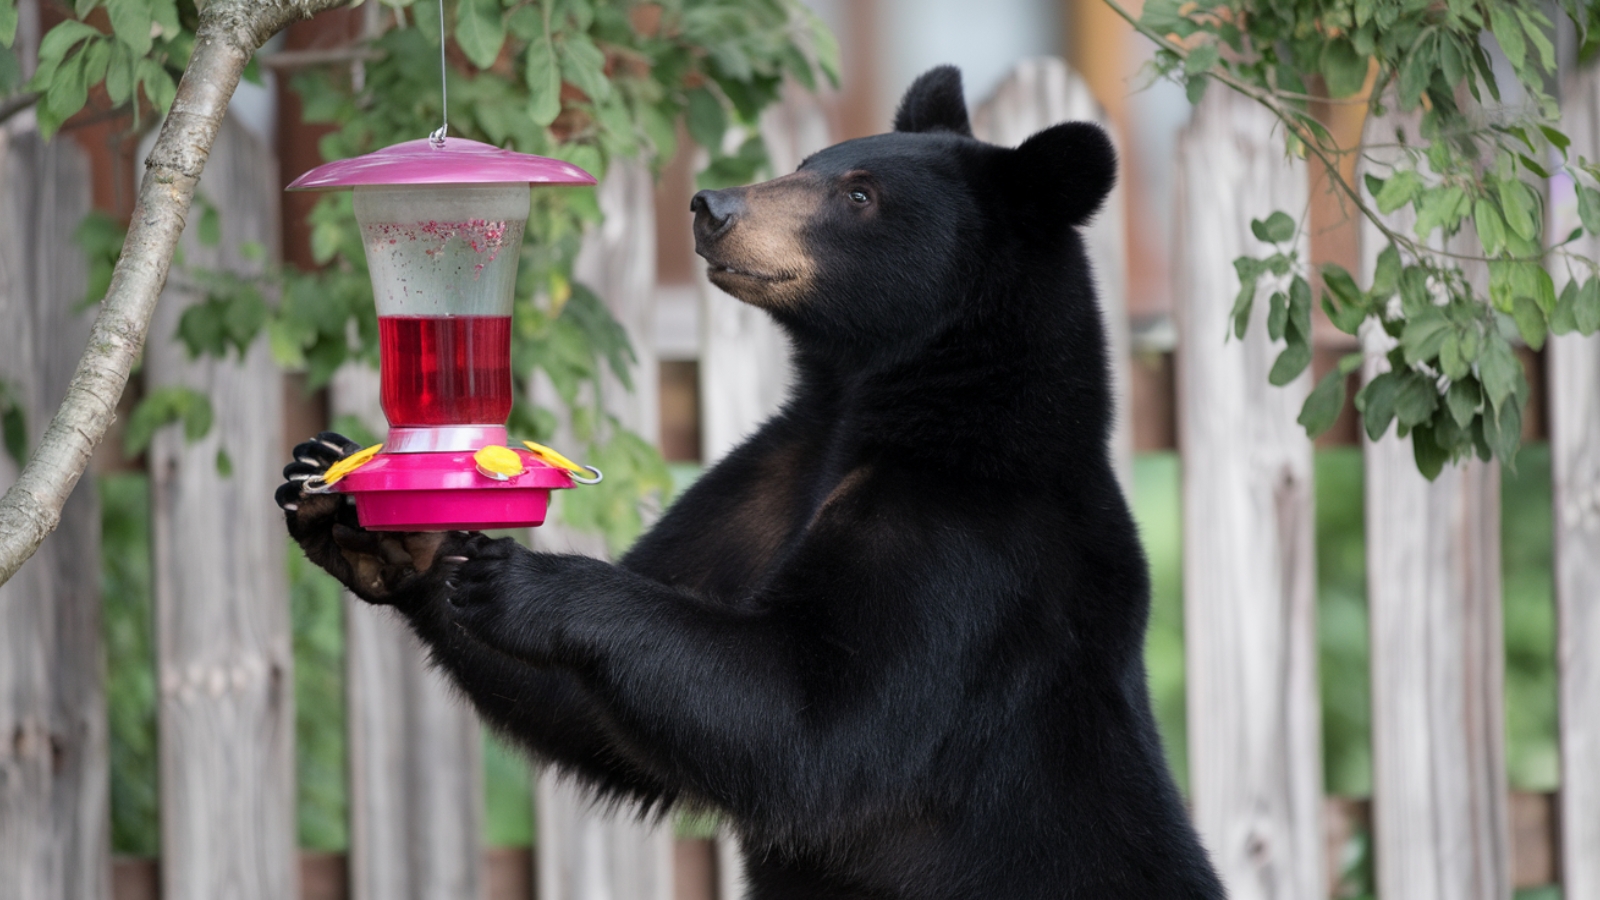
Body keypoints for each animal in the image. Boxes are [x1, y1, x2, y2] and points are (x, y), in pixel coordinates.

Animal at [278, 64, 1222, 896]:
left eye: (859, 195)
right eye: (807, 163)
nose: (713, 207)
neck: (886, 402)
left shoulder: (967, 547)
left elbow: (817, 719)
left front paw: (530, 581)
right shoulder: (775, 473)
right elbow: (594, 714)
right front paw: (358, 511)